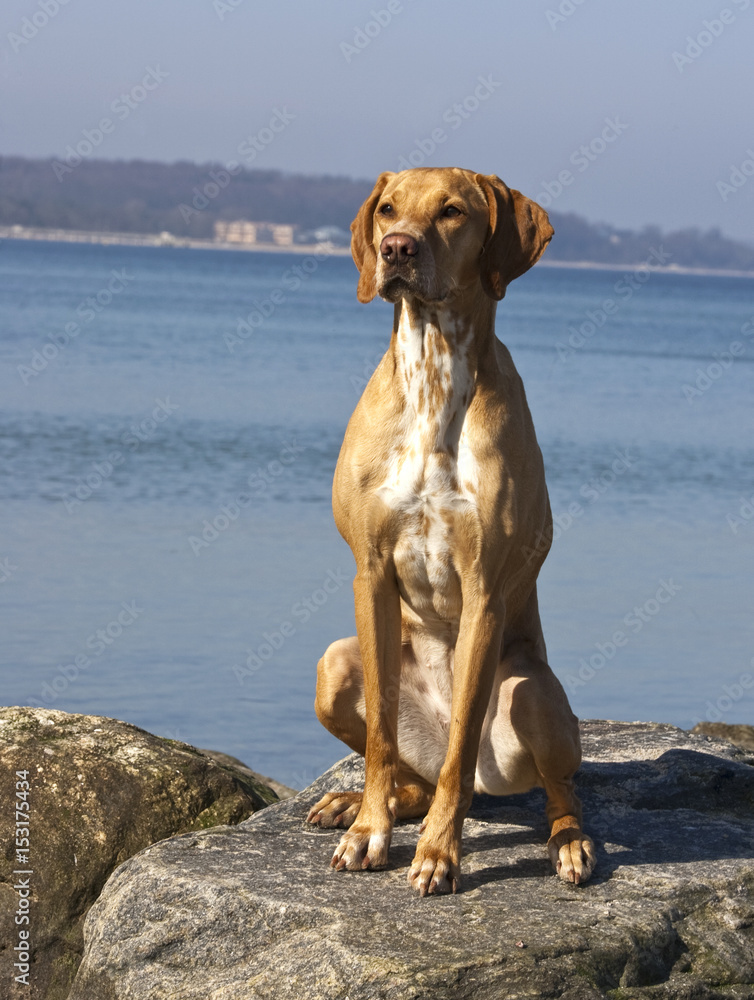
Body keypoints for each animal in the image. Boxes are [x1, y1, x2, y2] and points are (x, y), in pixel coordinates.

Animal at [306, 168, 592, 896]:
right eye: (387, 210)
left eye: (453, 212)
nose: (396, 250)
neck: (434, 374)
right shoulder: (371, 570)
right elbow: (380, 733)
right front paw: (369, 830)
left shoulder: (485, 590)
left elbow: (463, 737)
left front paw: (439, 852)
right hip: (334, 666)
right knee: (410, 772)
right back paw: (361, 801)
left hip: (529, 693)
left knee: (546, 787)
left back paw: (570, 843)